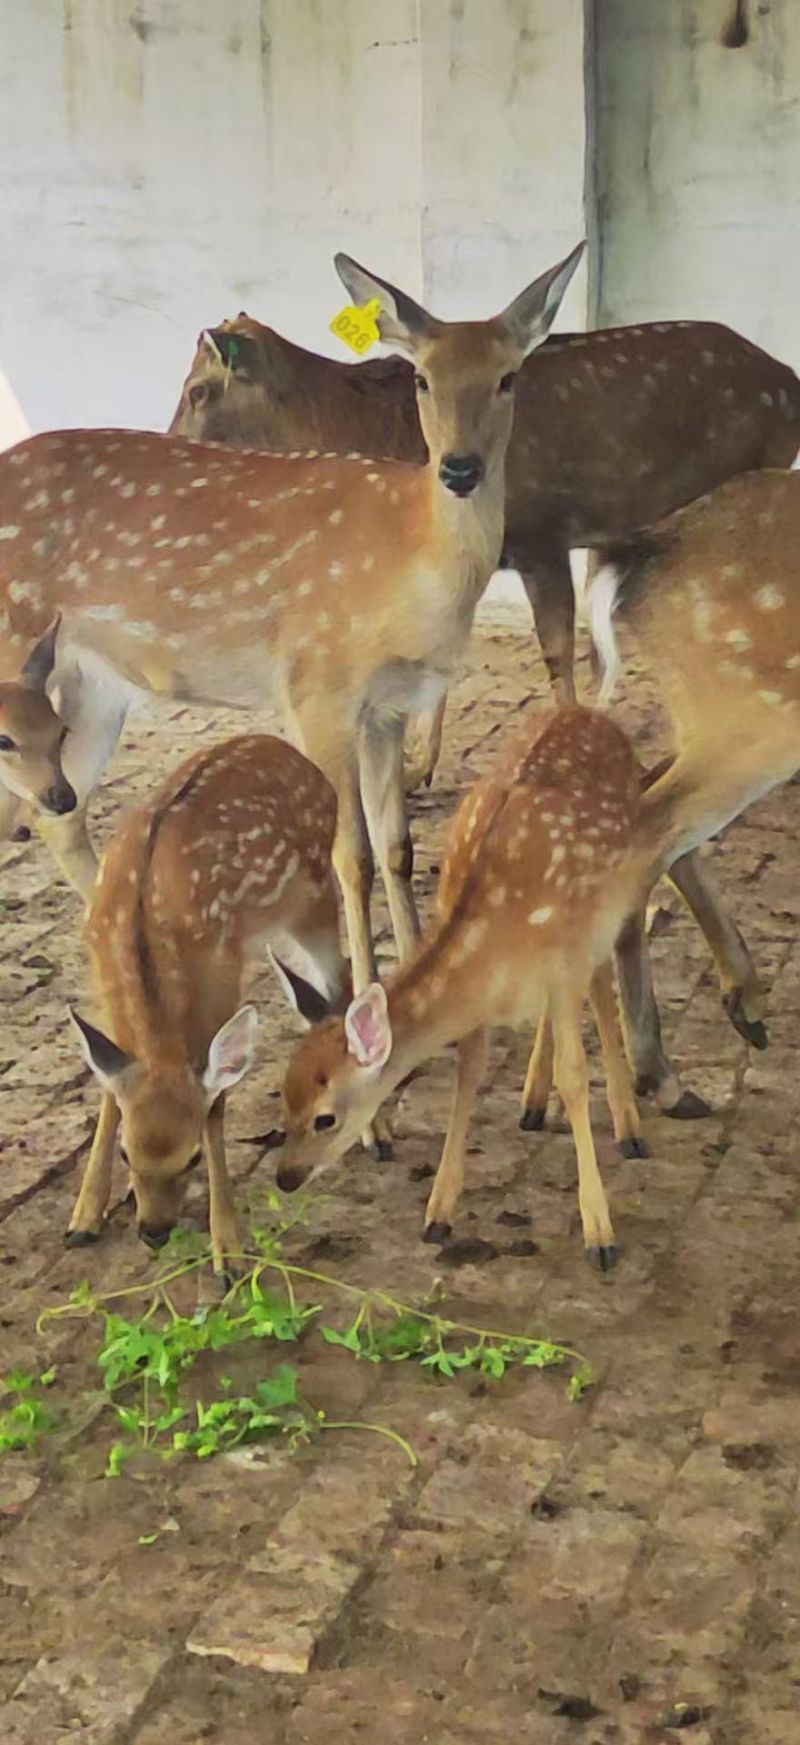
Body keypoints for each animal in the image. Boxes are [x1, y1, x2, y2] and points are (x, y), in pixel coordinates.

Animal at [0, 244, 585, 998]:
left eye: (507, 377)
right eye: (421, 378)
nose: (460, 469)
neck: (408, 559)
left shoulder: (387, 705)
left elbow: (396, 846)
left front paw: (412, 969)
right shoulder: (316, 687)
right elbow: (350, 854)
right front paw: (365, 994)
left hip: (89, 683)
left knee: (61, 815)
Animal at [67, 733, 352, 1274]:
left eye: (193, 1158)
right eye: (126, 1155)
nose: (154, 1232)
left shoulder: (220, 978)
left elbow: (216, 1104)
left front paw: (228, 1249)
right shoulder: (101, 977)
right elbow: (109, 1087)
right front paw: (84, 1216)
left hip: (318, 895)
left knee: (342, 989)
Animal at [275, 705, 661, 1272]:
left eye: (325, 1118)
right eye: (285, 1098)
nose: (285, 1176)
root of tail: (591, 713)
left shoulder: (565, 959)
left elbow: (574, 1076)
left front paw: (600, 1233)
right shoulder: (489, 999)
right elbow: (468, 1073)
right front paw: (439, 1213)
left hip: (615, 901)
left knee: (606, 976)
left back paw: (629, 1126)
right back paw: (533, 1103)